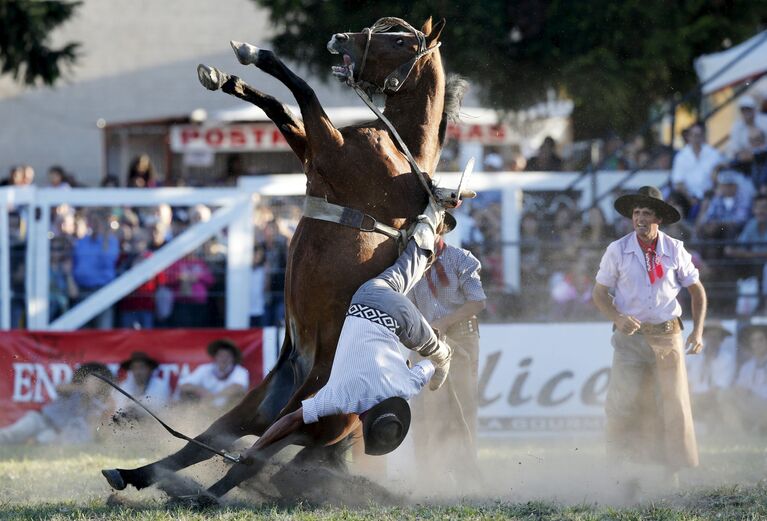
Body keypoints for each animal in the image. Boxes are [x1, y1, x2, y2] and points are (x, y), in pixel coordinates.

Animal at [104, 17, 464, 500]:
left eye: (400, 40)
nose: (341, 39)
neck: (400, 148)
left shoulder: (331, 150)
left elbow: (303, 93)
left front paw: (250, 55)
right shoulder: (313, 153)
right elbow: (282, 109)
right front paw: (226, 79)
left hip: (307, 413)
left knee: (249, 459)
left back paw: (199, 495)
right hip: (260, 403)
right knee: (206, 443)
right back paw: (134, 475)